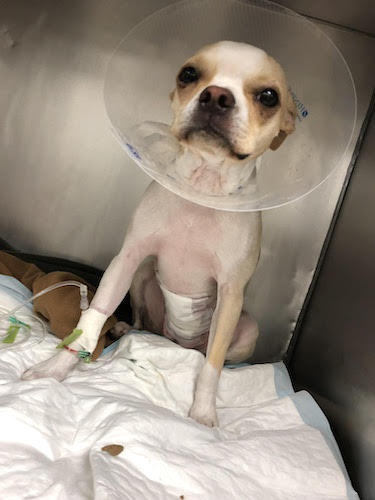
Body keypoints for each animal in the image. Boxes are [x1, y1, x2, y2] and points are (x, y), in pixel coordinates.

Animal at [22, 41, 296, 428]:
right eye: (189, 74)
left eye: (269, 96)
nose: (216, 96)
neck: (201, 188)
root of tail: (178, 342)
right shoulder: (127, 260)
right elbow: (91, 321)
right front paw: (55, 368)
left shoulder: (231, 293)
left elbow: (211, 368)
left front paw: (203, 412)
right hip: (141, 278)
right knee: (142, 323)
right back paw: (124, 329)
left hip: (246, 327)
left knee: (212, 354)